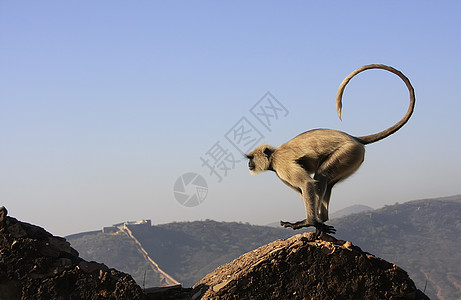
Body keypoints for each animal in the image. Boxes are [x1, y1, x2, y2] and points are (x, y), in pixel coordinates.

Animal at [246, 64, 416, 236]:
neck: (273, 156)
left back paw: (316, 221)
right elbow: (303, 189)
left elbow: (307, 184)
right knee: (327, 182)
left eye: (251, 158)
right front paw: (315, 223)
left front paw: (310, 222)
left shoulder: (282, 164)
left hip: (348, 152)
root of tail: (354, 138)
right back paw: (322, 221)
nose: (249, 165)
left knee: (321, 176)